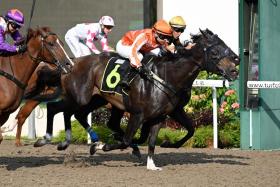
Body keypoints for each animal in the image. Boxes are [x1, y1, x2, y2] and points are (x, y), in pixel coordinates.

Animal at [59, 28, 238, 170]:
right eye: (214, 52)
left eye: (225, 45)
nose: (234, 70)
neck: (166, 77)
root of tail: (73, 61)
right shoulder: (137, 115)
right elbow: (127, 140)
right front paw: (101, 146)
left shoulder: (161, 116)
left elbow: (156, 140)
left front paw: (154, 161)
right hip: (81, 97)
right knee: (67, 113)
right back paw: (69, 143)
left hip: (99, 99)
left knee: (85, 116)